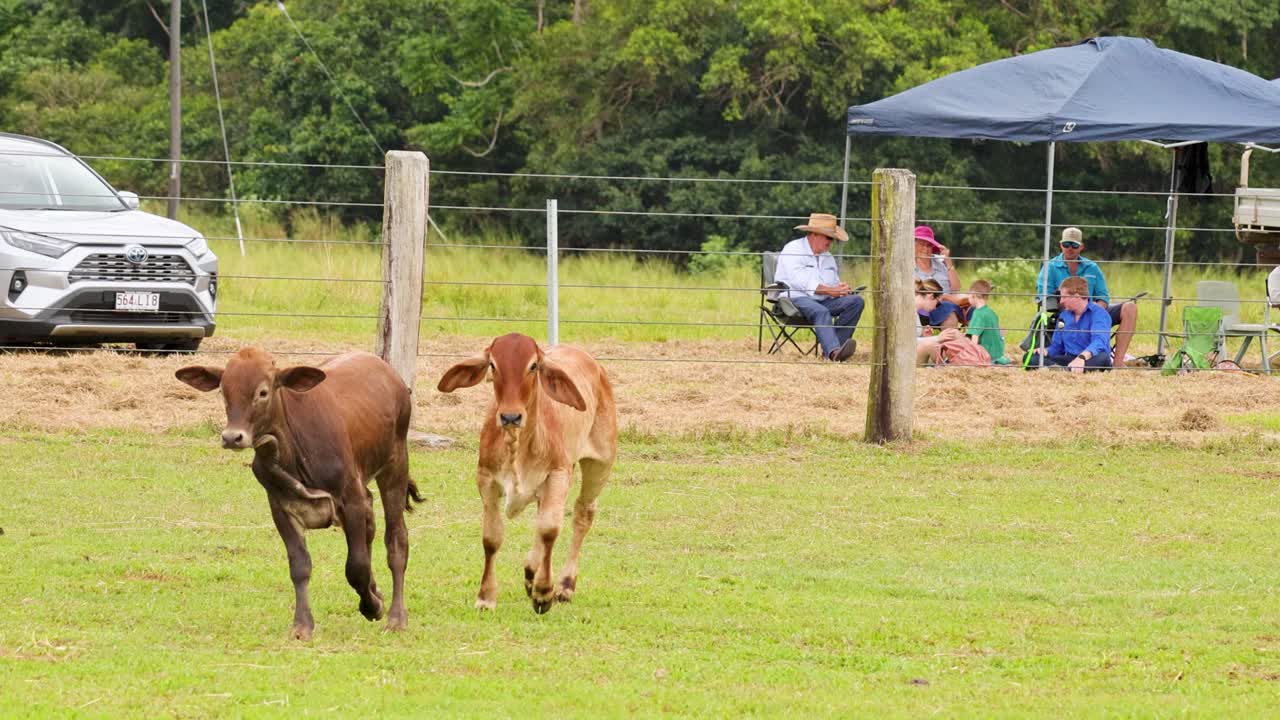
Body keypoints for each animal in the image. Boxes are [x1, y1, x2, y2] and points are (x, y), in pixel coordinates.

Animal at [175, 348, 423, 640]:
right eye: (223, 391)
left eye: (263, 392)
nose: (232, 437)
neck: (292, 450)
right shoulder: (281, 507)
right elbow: (300, 565)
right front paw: (303, 624)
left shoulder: (351, 498)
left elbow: (356, 566)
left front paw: (372, 606)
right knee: (371, 526)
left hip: (395, 466)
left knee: (396, 540)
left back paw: (396, 616)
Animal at [436, 333, 617, 613]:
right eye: (493, 365)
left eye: (533, 366)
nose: (510, 416)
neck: (517, 446)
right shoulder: (486, 479)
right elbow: (492, 537)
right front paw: (486, 597)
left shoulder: (559, 474)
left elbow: (549, 529)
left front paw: (544, 593)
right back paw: (531, 572)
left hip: (600, 464)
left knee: (582, 514)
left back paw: (565, 585)